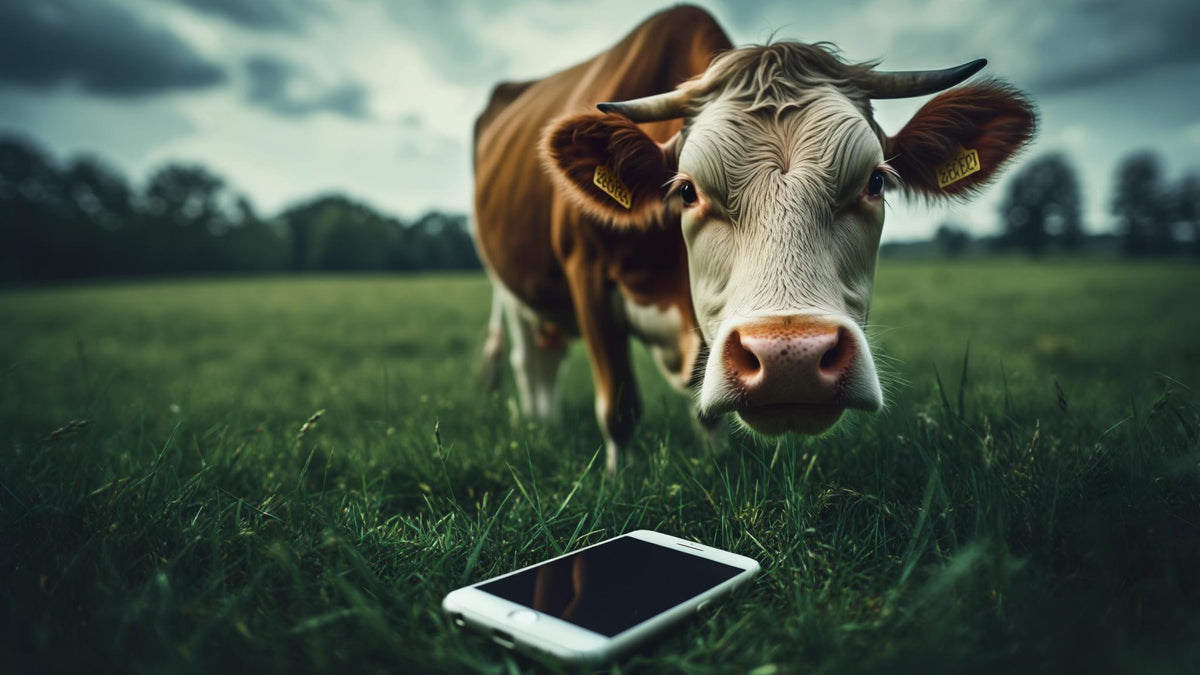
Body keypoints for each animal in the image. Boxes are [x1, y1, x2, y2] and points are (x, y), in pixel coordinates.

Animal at [473, 5, 1035, 474]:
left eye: (875, 181)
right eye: (686, 190)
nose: (793, 360)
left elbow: (707, 411)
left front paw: (716, 467)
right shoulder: (586, 275)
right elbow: (620, 405)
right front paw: (618, 482)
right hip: (508, 286)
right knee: (529, 361)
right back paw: (539, 428)